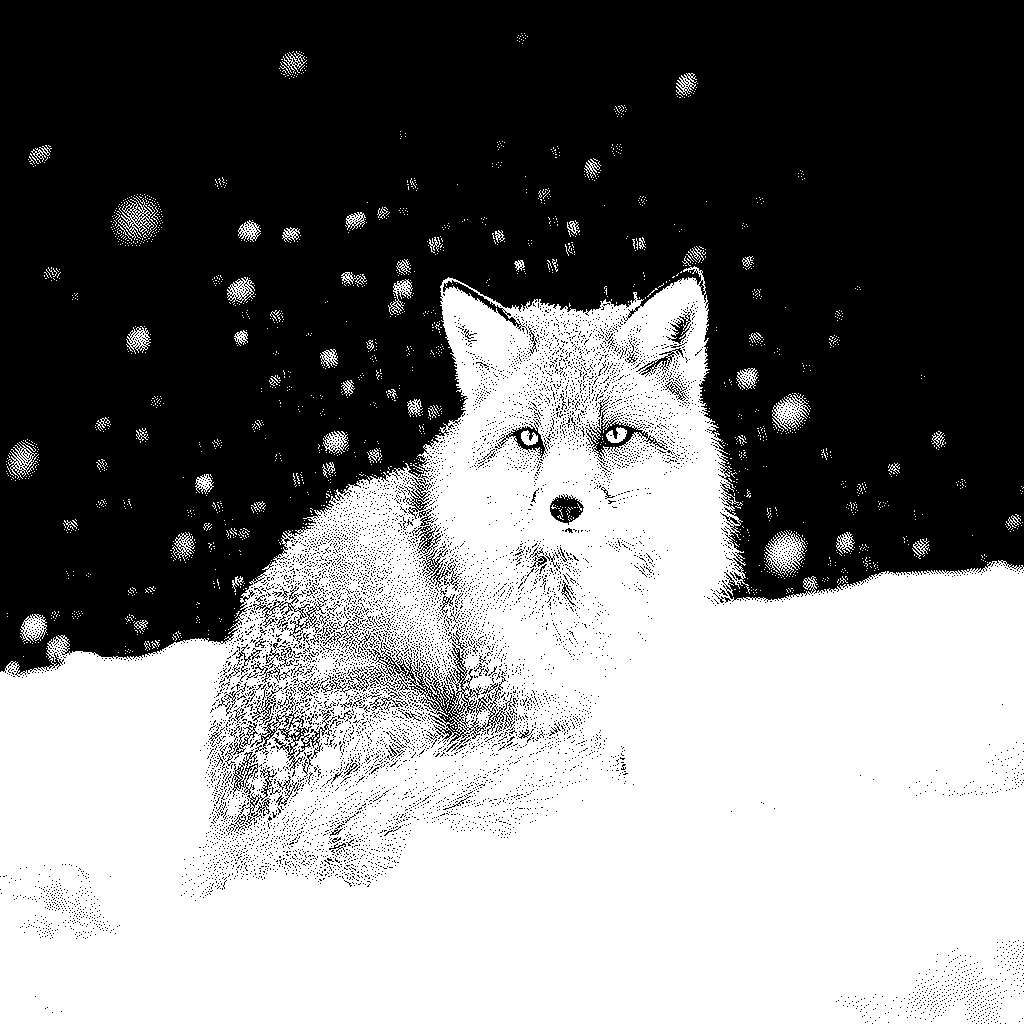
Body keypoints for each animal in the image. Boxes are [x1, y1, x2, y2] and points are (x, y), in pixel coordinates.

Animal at [193, 268, 746, 892]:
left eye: (615, 436)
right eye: (528, 439)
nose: (564, 506)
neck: (578, 602)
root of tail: (243, 827)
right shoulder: (521, 711)